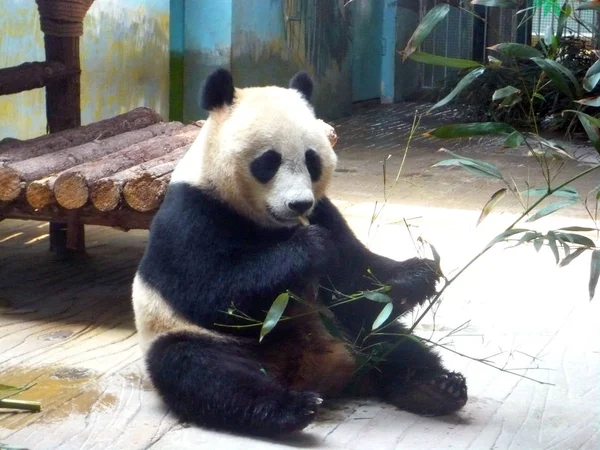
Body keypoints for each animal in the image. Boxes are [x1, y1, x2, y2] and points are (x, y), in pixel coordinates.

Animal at [132, 69, 468, 436]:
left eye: (312, 160)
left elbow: (356, 273)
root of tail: (318, 374)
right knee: (204, 372)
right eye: (268, 162)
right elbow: (212, 294)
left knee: (388, 340)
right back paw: (288, 409)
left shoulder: (325, 211)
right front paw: (311, 247)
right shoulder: (192, 214)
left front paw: (419, 274)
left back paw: (435, 387)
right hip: (191, 337)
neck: (268, 222)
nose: (299, 204)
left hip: (342, 325)